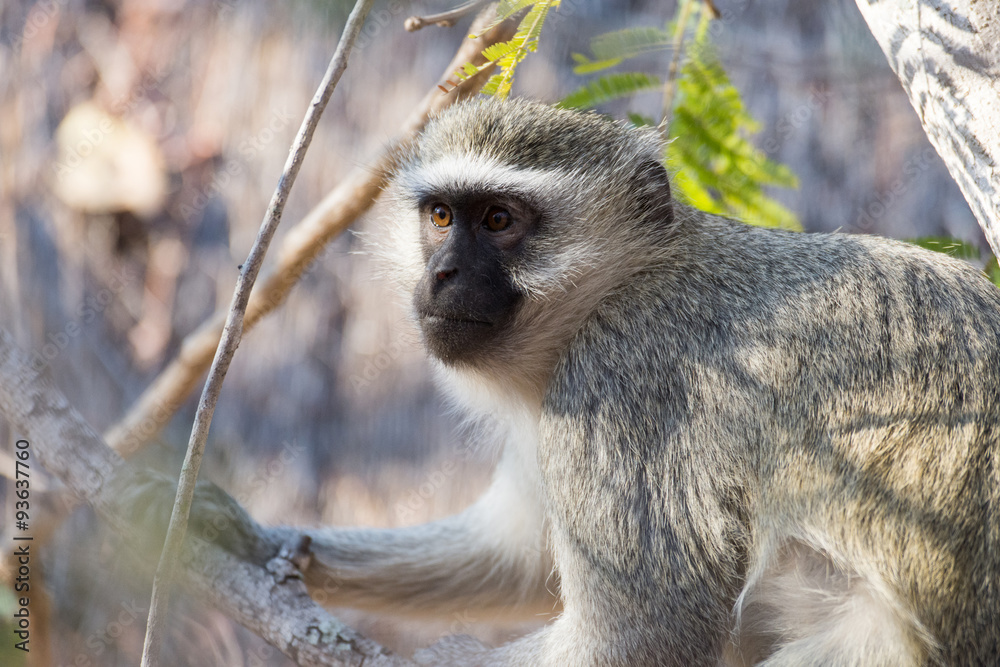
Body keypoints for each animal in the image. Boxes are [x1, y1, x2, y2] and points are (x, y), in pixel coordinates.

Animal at [129, 97, 1000, 666]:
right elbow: (514, 553)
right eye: (441, 216)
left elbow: (643, 634)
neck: (622, 284)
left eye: (500, 221)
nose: (442, 276)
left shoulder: (620, 377)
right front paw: (235, 531)